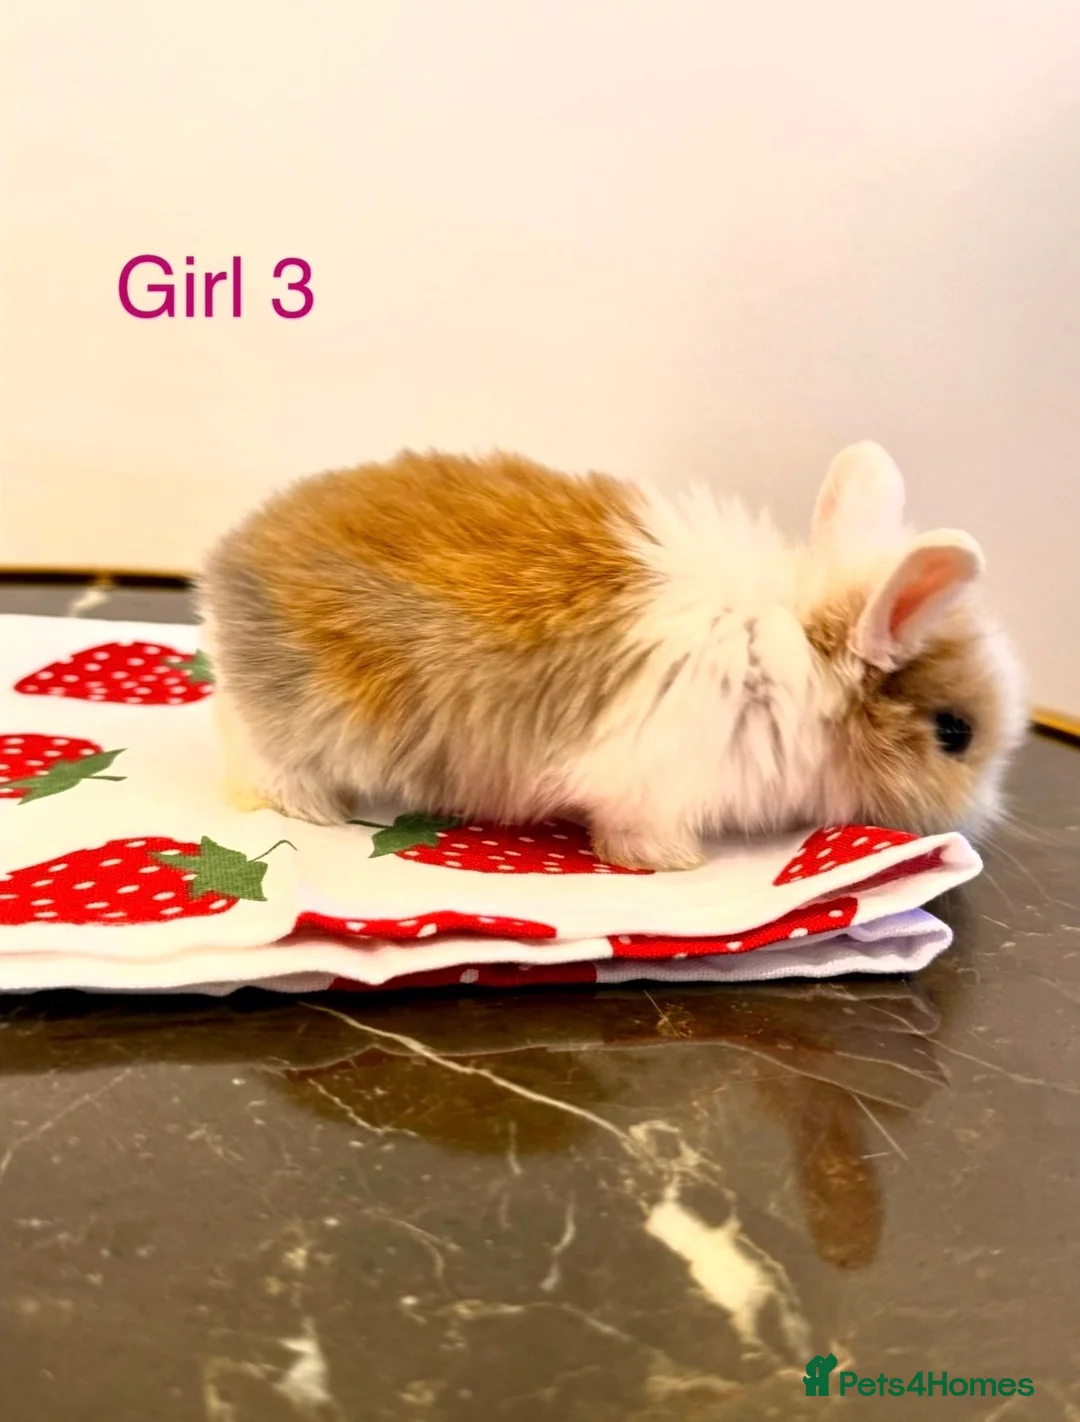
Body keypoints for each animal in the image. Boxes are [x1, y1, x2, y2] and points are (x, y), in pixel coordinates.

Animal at [196, 441, 1026, 871]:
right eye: (956, 734)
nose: (980, 818)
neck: (800, 658)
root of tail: (230, 557)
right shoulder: (653, 782)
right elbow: (640, 833)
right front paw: (677, 865)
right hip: (302, 717)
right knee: (256, 759)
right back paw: (312, 808)